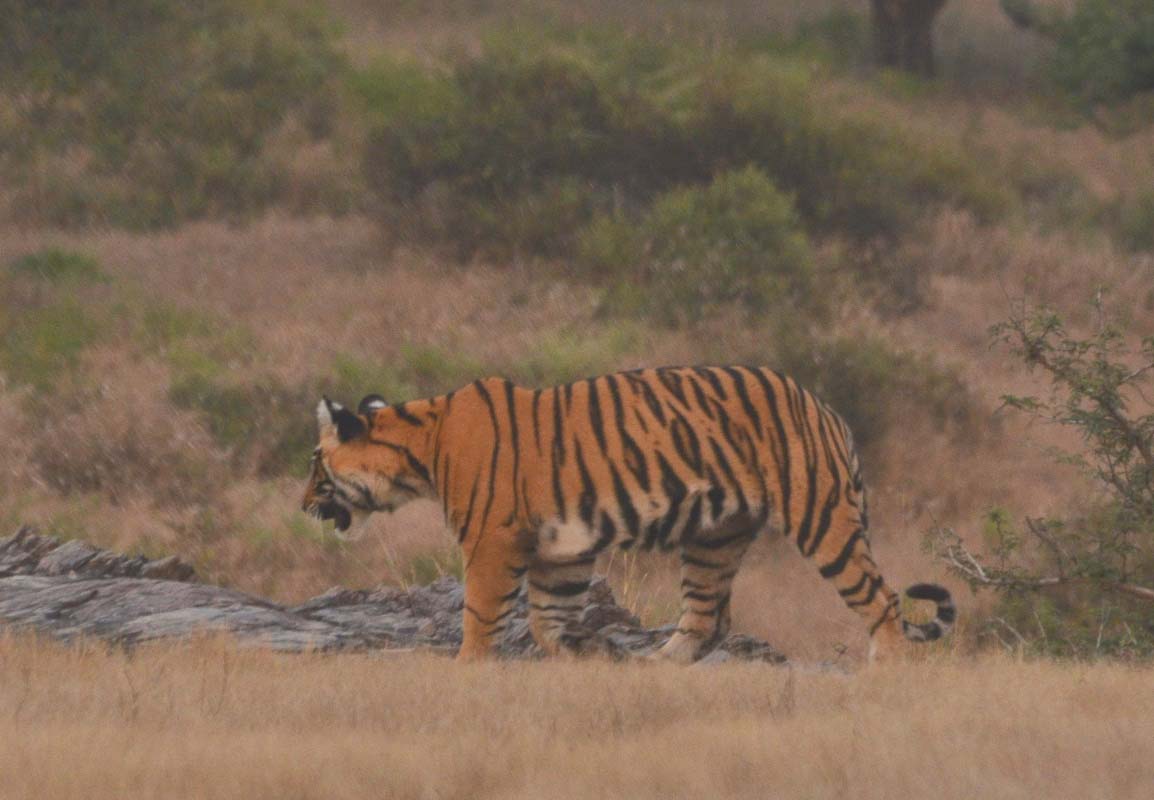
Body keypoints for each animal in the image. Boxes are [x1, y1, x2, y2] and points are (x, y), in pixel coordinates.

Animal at [300, 364, 955, 660]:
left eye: (314, 463)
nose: (302, 504)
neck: (421, 448)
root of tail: (824, 407)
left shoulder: (492, 543)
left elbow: (481, 617)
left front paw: (467, 669)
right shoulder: (559, 551)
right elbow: (549, 619)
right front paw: (584, 662)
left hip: (820, 516)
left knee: (882, 599)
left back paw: (885, 670)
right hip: (714, 539)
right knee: (706, 619)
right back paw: (656, 669)